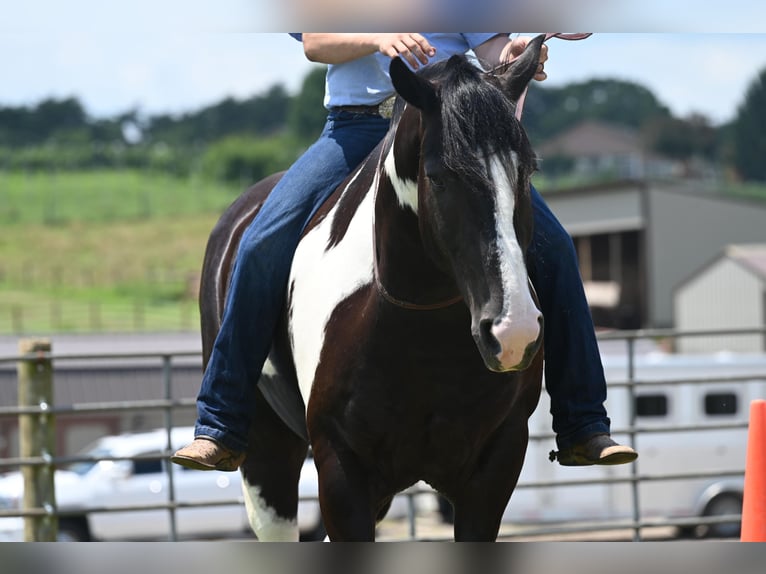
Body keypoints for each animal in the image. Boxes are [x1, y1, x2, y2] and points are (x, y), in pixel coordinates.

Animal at [198, 37, 544, 544]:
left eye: (528, 171)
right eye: (439, 176)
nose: (513, 330)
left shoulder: (494, 466)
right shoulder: (340, 470)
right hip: (266, 455)